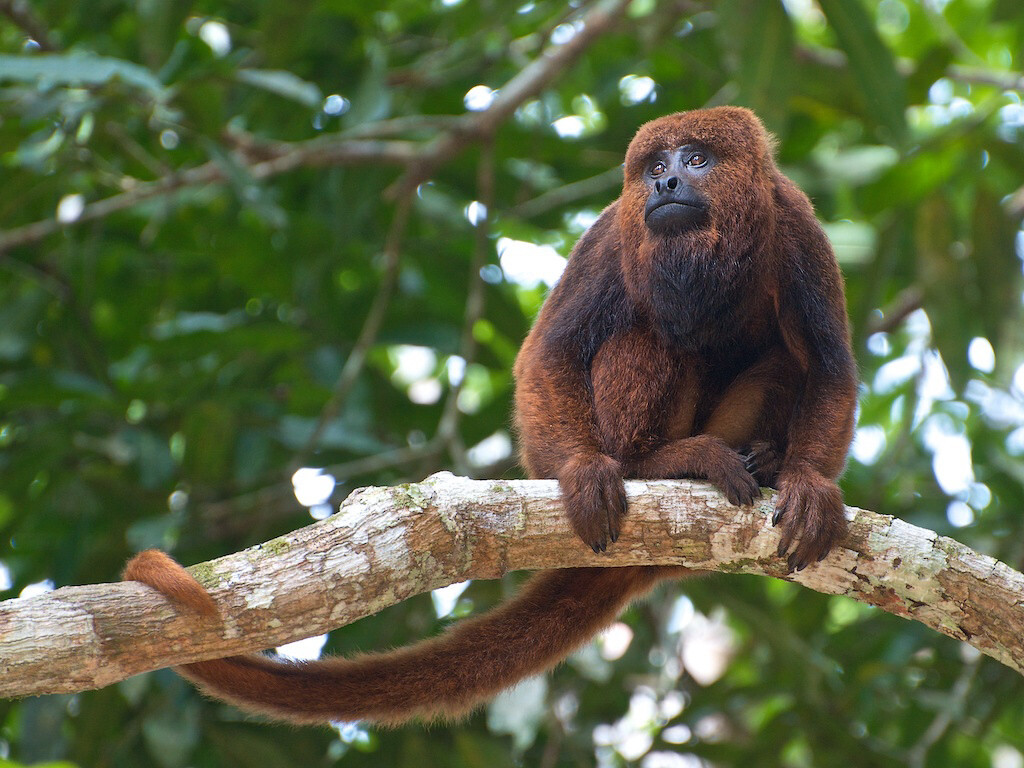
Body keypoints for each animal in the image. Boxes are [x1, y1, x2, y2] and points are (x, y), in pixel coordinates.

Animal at [123, 107, 860, 729]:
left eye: (697, 158)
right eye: (655, 167)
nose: (667, 181)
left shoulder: (798, 225)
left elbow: (828, 366)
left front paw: (807, 486)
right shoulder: (611, 231)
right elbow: (550, 352)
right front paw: (585, 473)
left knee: (783, 357)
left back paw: (759, 460)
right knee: (649, 333)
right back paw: (658, 461)